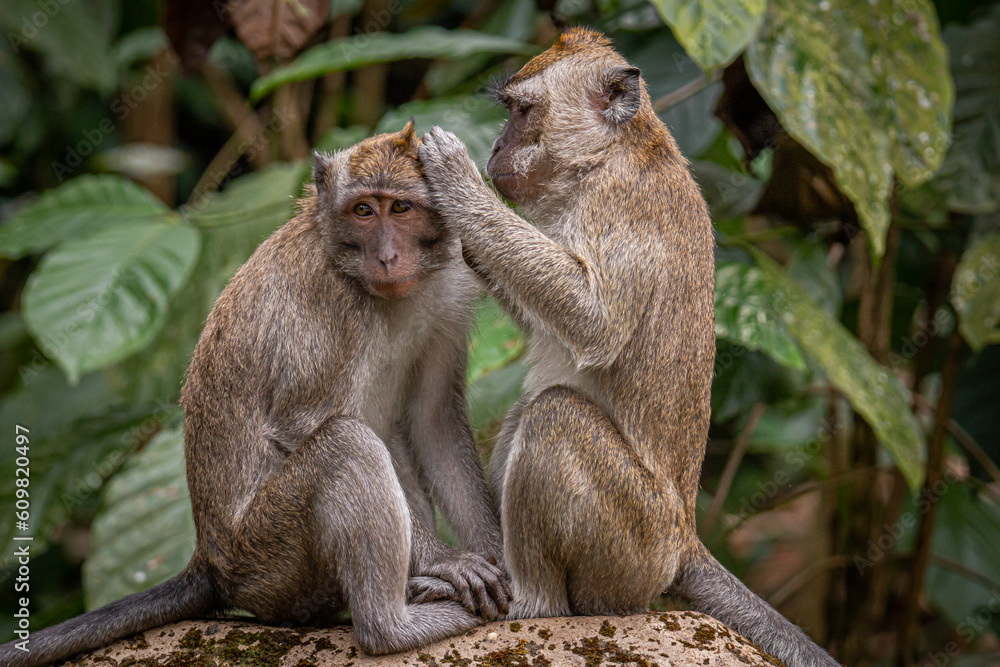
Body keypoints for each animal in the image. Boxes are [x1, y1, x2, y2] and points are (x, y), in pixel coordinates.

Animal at [0, 122, 510, 667]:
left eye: (401, 208)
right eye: (363, 211)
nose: (387, 257)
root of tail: (211, 564)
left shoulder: (449, 290)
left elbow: (433, 420)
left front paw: (502, 558)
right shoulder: (332, 305)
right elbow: (304, 423)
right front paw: (443, 560)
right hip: (267, 559)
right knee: (346, 444)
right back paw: (393, 626)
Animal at [416, 28, 840, 667]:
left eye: (523, 112)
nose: (494, 147)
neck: (608, 156)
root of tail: (684, 536)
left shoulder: (620, 208)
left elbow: (594, 324)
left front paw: (456, 180)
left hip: (631, 549)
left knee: (554, 416)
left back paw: (535, 603)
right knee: (530, 412)